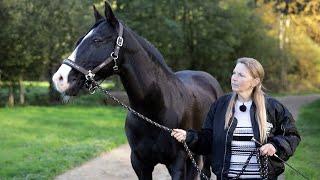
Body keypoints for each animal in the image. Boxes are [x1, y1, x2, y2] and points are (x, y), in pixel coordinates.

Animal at [52, 2, 222, 179]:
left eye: (97, 40)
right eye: (79, 41)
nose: (60, 79)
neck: (154, 111)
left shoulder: (177, 164)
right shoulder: (140, 163)